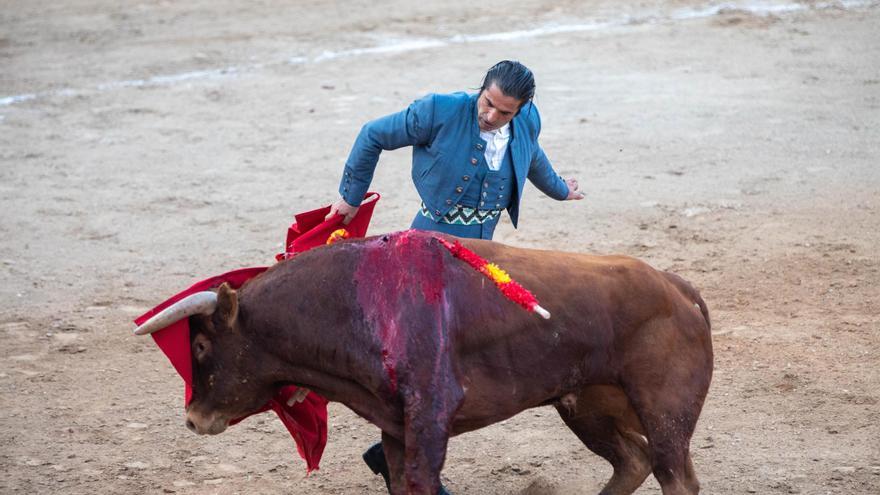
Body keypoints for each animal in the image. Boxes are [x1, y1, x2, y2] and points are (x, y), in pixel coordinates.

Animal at [139, 231, 716, 494]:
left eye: (200, 347)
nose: (193, 419)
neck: (350, 304)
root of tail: (681, 289)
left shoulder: (430, 419)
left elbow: (418, 481)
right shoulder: (396, 427)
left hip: (665, 412)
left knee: (673, 475)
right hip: (585, 406)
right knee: (633, 460)